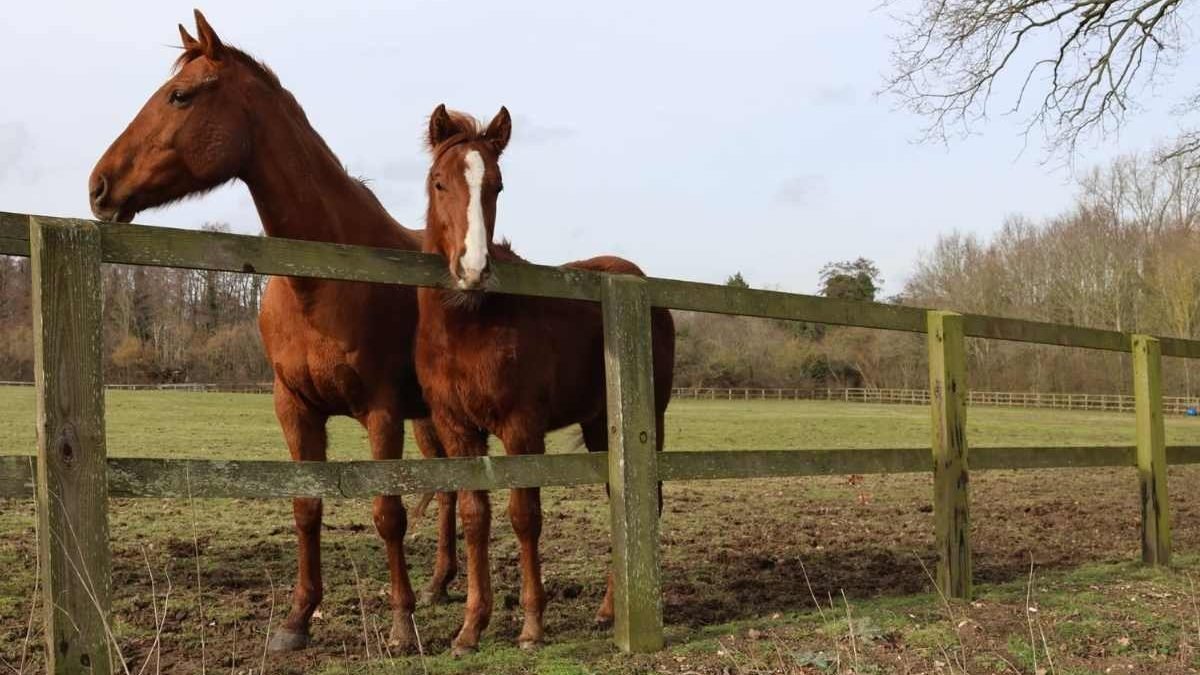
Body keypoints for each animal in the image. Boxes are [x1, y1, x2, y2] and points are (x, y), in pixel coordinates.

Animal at [87, 10, 459, 653]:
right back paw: (440, 585)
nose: (98, 186)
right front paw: (296, 621)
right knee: (448, 489)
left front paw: (401, 625)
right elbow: (306, 507)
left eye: (180, 96)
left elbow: (387, 513)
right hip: (429, 418)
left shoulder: (381, 412)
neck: (322, 278)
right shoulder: (295, 407)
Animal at [414, 105, 675, 654]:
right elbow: (475, 516)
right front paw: (470, 628)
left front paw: (532, 625)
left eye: (497, 185)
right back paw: (607, 610)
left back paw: (612, 610)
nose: (473, 270)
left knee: (646, 500)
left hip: (648, 417)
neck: (469, 323)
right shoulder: (457, 428)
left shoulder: (522, 428)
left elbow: (524, 516)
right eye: (439, 181)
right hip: (600, 424)